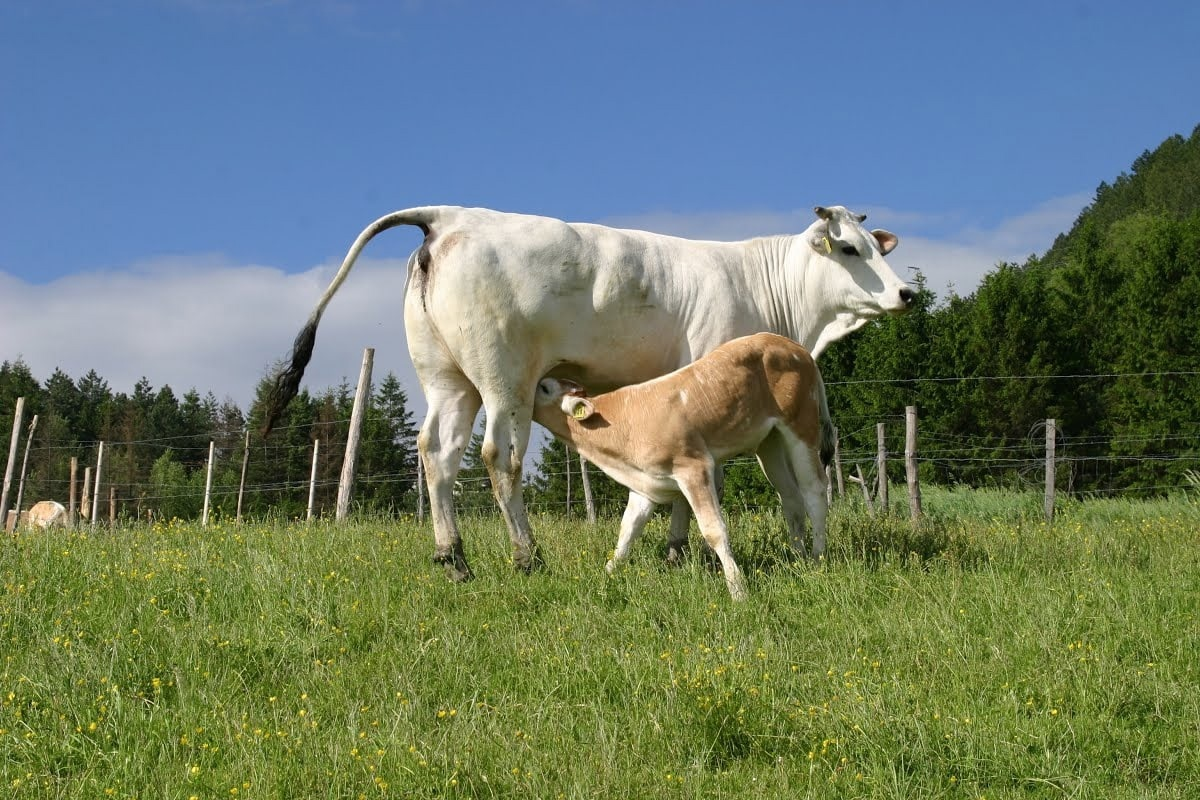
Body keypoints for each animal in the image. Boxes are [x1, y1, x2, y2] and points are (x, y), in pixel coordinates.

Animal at [530, 333, 830, 599]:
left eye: (544, 388)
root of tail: (793, 345)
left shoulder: (694, 468)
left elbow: (714, 530)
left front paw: (738, 591)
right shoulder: (645, 484)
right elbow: (627, 531)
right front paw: (606, 576)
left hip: (800, 426)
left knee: (814, 491)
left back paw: (817, 559)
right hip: (769, 442)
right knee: (791, 498)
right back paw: (798, 557)